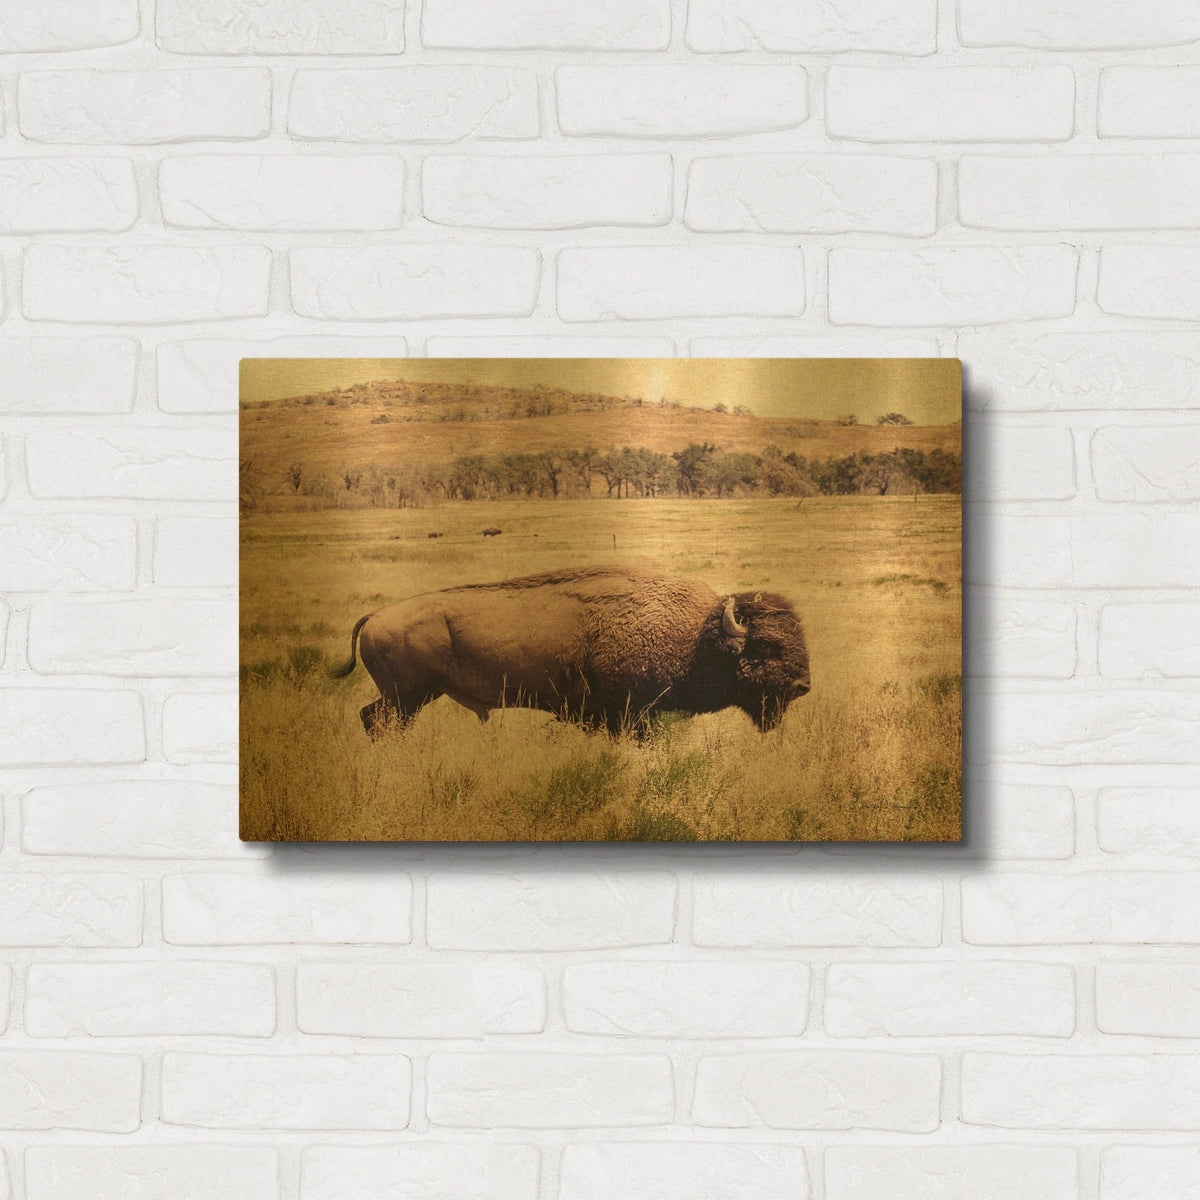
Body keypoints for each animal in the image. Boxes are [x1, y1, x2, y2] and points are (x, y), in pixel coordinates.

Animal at [330, 565, 809, 737]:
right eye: (767, 645)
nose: (803, 685)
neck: (696, 637)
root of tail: (376, 615)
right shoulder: (629, 714)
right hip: (407, 697)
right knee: (378, 720)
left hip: (407, 697)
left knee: (371, 717)